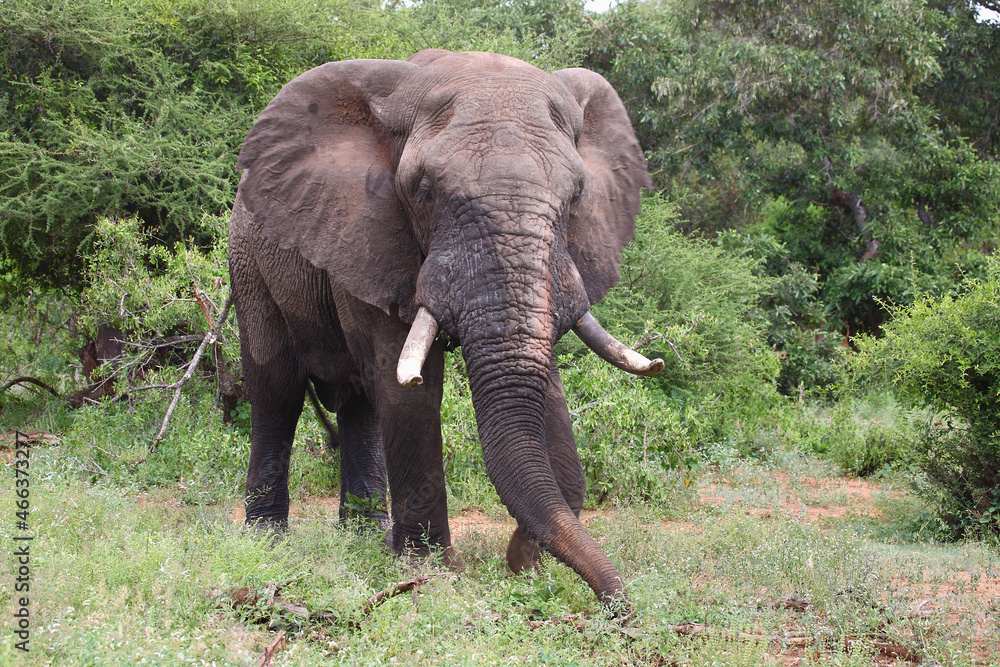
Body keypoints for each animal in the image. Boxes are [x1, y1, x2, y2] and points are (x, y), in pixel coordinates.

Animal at [228, 48, 662, 609]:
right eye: (426, 191)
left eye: (576, 196)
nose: (619, 608)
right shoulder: (367, 232)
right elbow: (412, 388)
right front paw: (431, 572)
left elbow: (540, 383)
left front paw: (524, 560)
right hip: (248, 261)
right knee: (277, 389)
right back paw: (268, 541)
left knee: (361, 404)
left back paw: (366, 538)